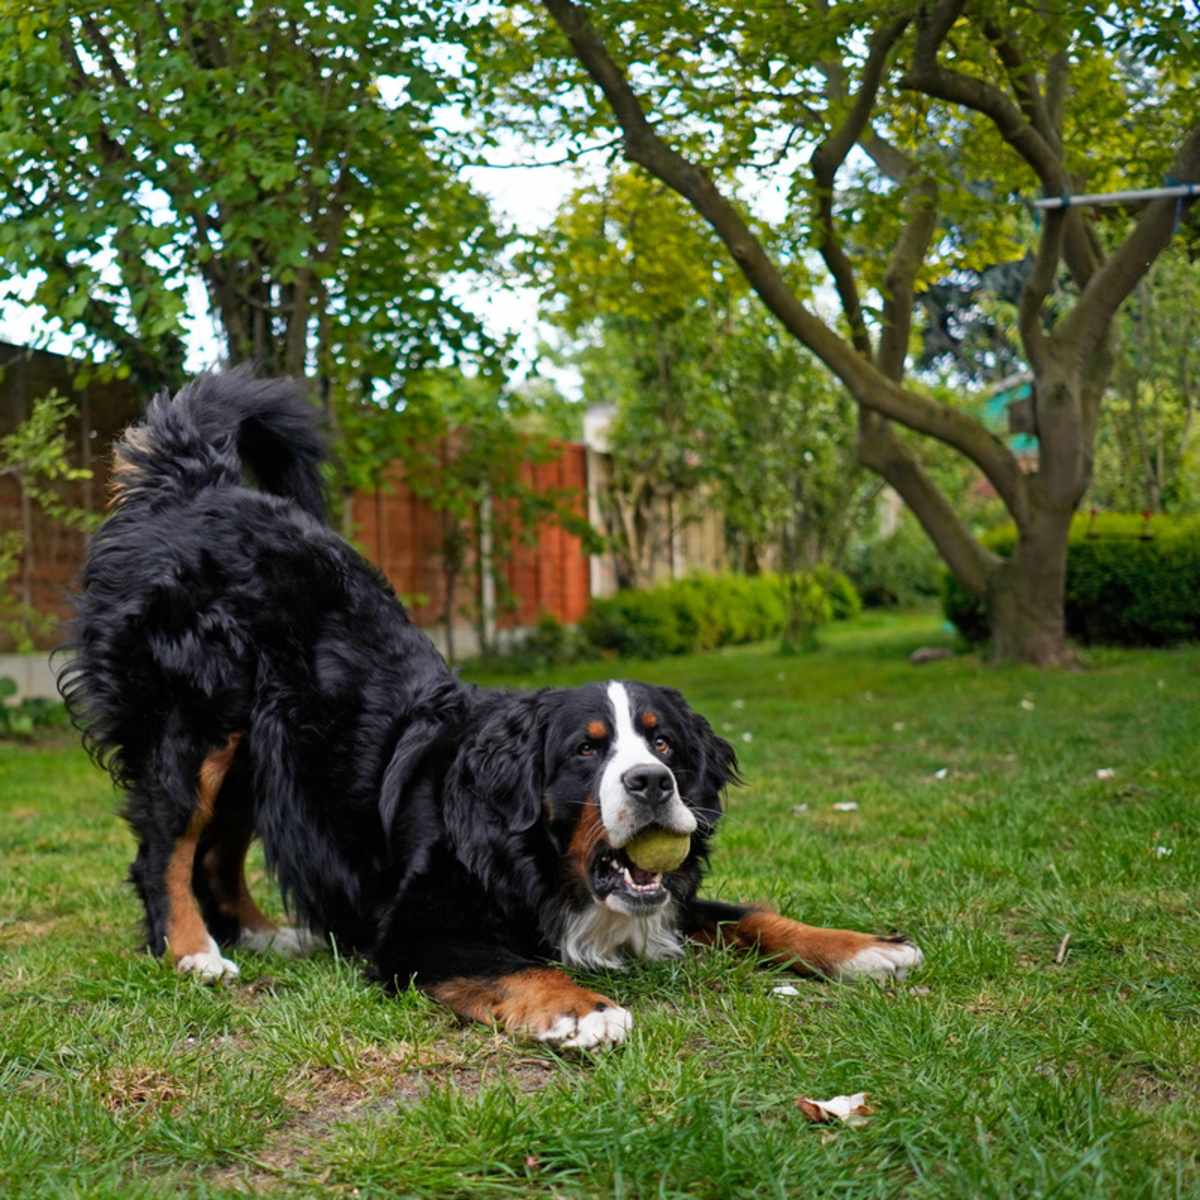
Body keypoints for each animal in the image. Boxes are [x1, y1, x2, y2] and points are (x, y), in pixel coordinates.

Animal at [60, 369, 921, 1046]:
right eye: (587, 750)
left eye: (665, 745)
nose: (650, 785)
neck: (535, 857)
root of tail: (197, 484)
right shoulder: (420, 928)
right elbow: (510, 967)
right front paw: (581, 1010)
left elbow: (749, 915)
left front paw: (863, 946)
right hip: (198, 723)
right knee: (167, 847)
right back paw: (195, 953)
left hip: (267, 749)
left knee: (216, 850)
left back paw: (274, 937)